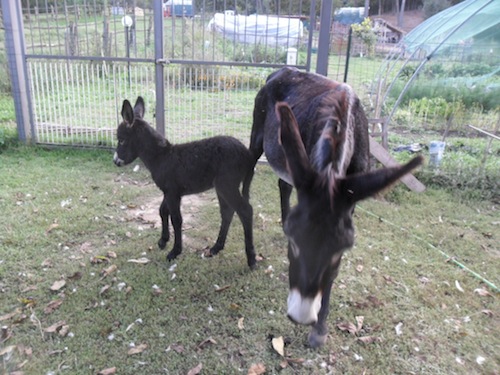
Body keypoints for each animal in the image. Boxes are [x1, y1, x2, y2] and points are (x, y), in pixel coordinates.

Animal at [112, 95, 254, 268]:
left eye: (121, 140)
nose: (115, 161)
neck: (162, 157)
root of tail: (247, 154)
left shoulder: (173, 193)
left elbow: (177, 219)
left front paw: (175, 251)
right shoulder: (170, 191)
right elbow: (162, 211)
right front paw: (163, 240)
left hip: (228, 185)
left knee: (245, 211)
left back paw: (251, 259)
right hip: (222, 187)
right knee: (227, 212)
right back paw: (216, 248)